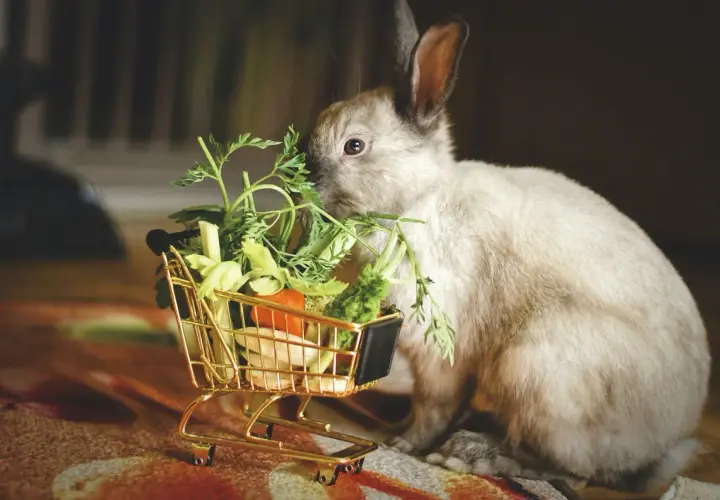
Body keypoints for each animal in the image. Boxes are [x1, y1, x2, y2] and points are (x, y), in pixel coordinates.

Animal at [300, 0, 711, 493]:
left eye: (354, 145)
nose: (303, 180)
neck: (417, 201)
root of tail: (662, 445)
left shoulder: (442, 350)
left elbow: (432, 404)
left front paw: (401, 443)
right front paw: (397, 430)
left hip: (535, 369)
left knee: (571, 468)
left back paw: (471, 454)